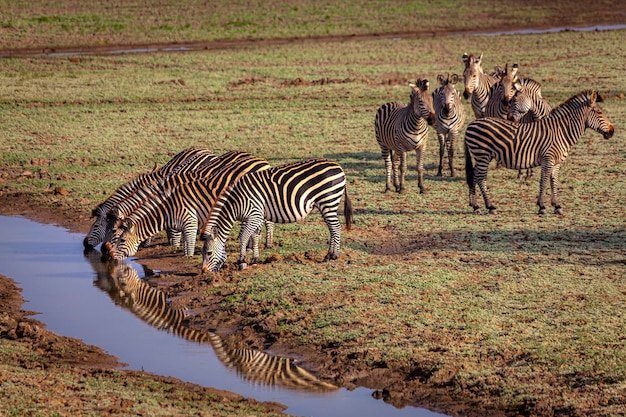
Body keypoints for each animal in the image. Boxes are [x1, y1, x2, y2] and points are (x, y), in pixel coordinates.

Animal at [103, 150, 270, 260]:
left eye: (118, 236)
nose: (107, 254)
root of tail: (262, 160)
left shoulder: (188, 221)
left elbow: (184, 242)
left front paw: (181, 252)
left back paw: (262, 245)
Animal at [202, 158, 354, 272]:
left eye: (209, 253)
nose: (203, 272)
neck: (236, 202)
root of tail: (338, 167)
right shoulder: (256, 217)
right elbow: (255, 236)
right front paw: (254, 259)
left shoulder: (254, 214)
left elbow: (244, 236)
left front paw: (242, 259)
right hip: (327, 204)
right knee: (332, 228)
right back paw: (329, 254)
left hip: (328, 200)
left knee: (336, 227)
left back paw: (334, 255)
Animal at [464, 90, 616, 214]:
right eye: (599, 113)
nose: (612, 131)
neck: (562, 131)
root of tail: (470, 124)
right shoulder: (548, 159)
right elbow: (543, 181)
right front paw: (542, 206)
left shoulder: (556, 162)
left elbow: (553, 182)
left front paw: (557, 206)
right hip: (483, 155)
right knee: (480, 177)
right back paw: (490, 206)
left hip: (481, 156)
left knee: (474, 175)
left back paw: (475, 206)